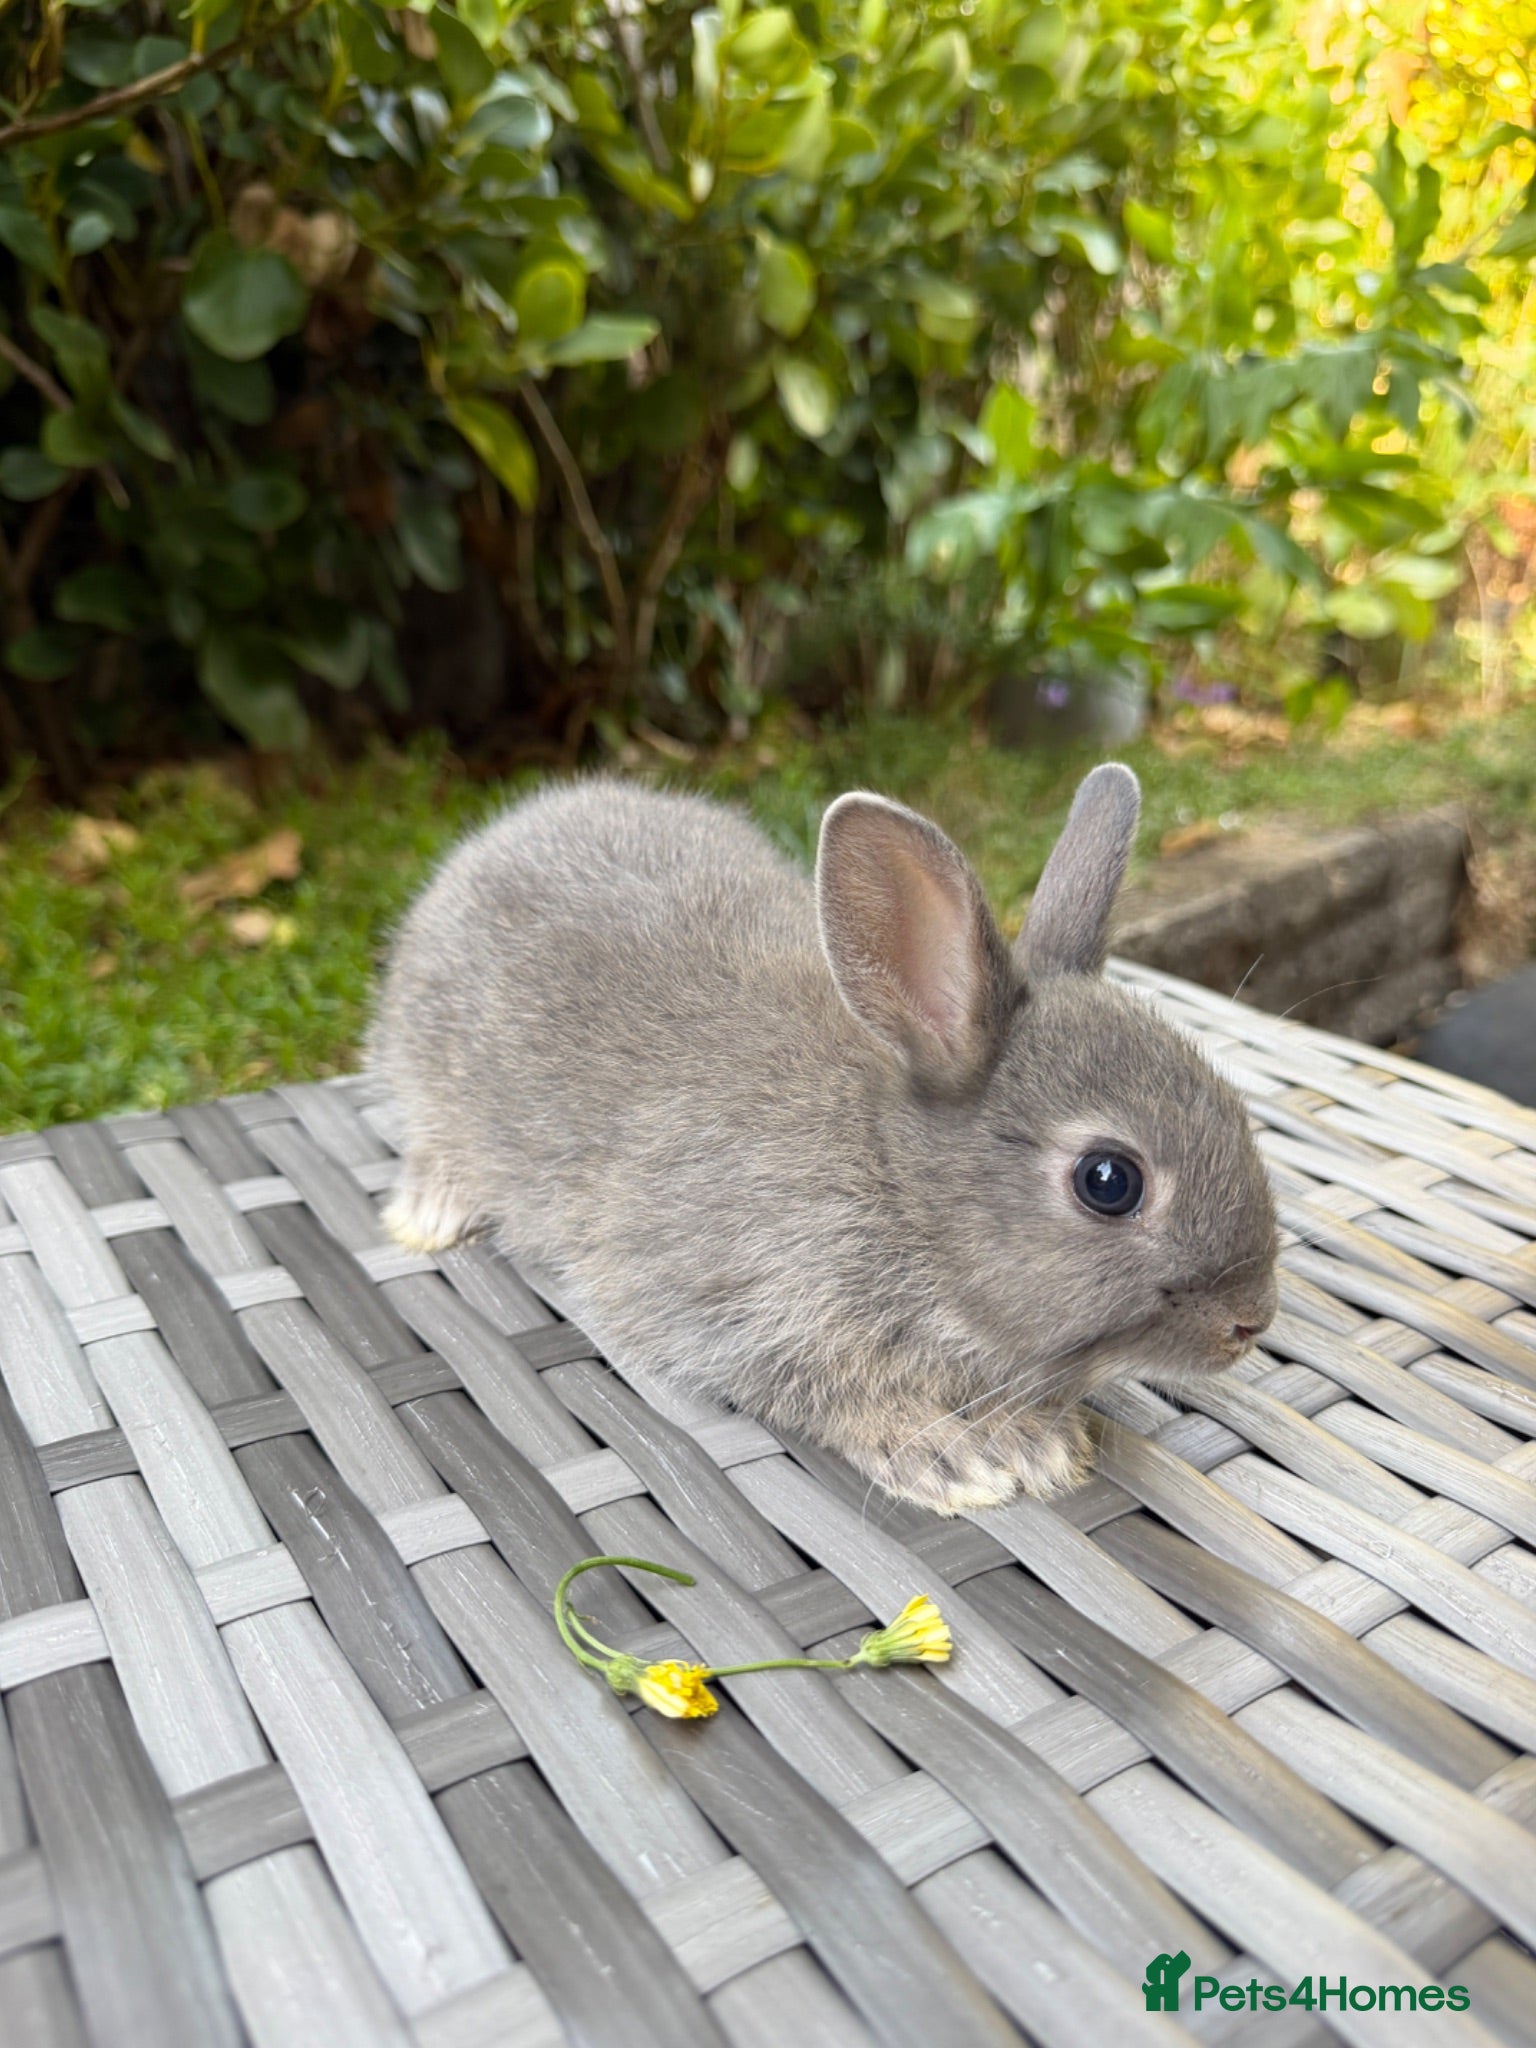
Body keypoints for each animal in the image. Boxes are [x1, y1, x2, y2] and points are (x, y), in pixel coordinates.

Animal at [371, 764, 1278, 1514]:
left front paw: (1037, 1441)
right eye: (1108, 1180)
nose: (1251, 1321)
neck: (894, 1181)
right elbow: (815, 1391)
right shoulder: (720, 1298)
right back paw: (429, 1213)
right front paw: (952, 1458)